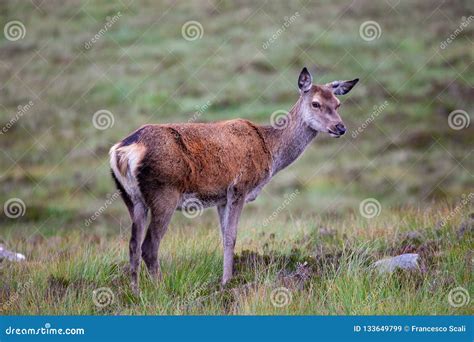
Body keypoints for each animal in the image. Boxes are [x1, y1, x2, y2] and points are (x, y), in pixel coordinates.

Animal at [108, 67, 360, 294]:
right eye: (315, 103)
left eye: (338, 103)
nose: (340, 127)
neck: (270, 151)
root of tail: (122, 152)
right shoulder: (240, 187)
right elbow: (231, 237)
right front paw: (227, 284)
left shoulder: (220, 197)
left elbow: (223, 237)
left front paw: (225, 279)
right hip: (164, 193)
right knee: (149, 246)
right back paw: (161, 290)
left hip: (131, 197)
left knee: (132, 244)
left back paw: (134, 293)